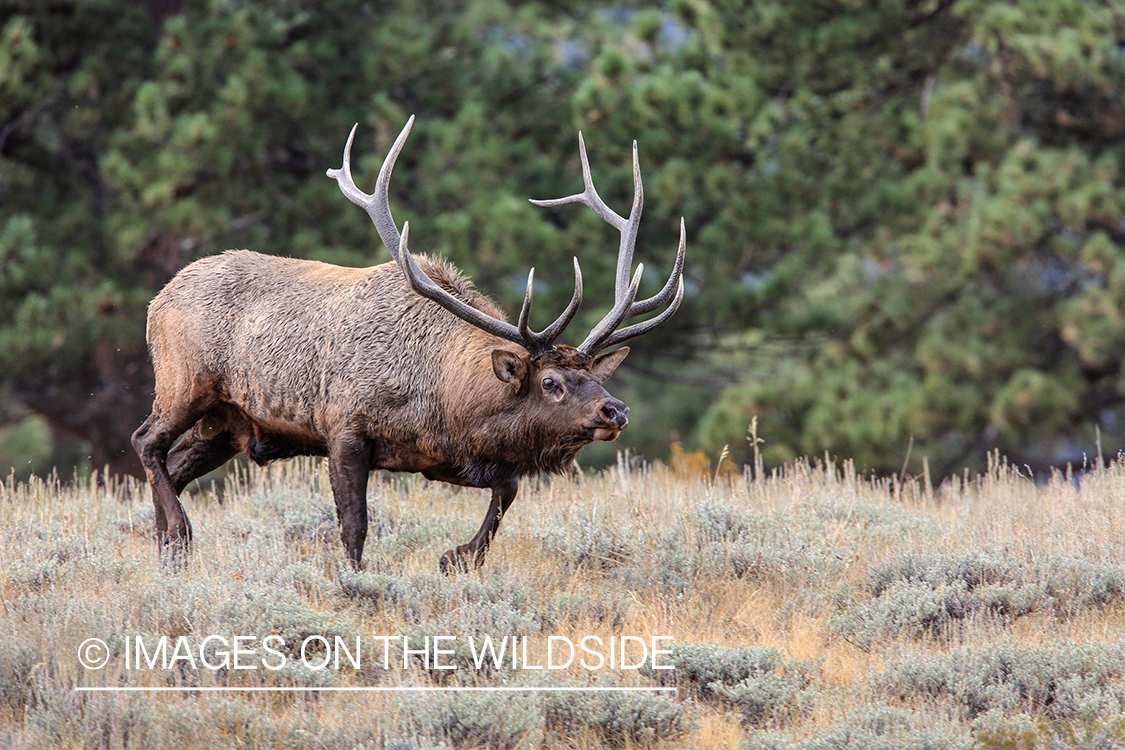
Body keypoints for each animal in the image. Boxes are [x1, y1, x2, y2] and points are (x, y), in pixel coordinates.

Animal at [131, 115, 684, 575]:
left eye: (592, 374)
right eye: (550, 382)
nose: (615, 410)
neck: (443, 398)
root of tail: (158, 299)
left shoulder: (446, 455)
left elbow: (507, 489)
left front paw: (457, 557)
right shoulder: (344, 426)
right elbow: (354, 523)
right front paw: (356, 583)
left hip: (227, 425)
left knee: (175, 467)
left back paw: (166, 548)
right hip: (185, 383)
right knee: (146, 442)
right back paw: (178, 535)